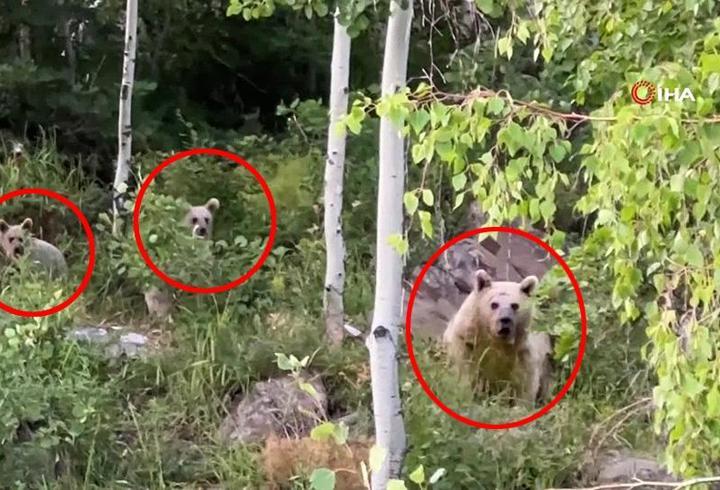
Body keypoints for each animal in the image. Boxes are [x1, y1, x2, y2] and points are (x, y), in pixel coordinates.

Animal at [442, 270, 556, 404]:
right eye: (494, 304)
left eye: (515, 305)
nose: (505, 320)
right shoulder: (467, 339)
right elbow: (462, 366)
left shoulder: (523, 353)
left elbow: (525, 384)